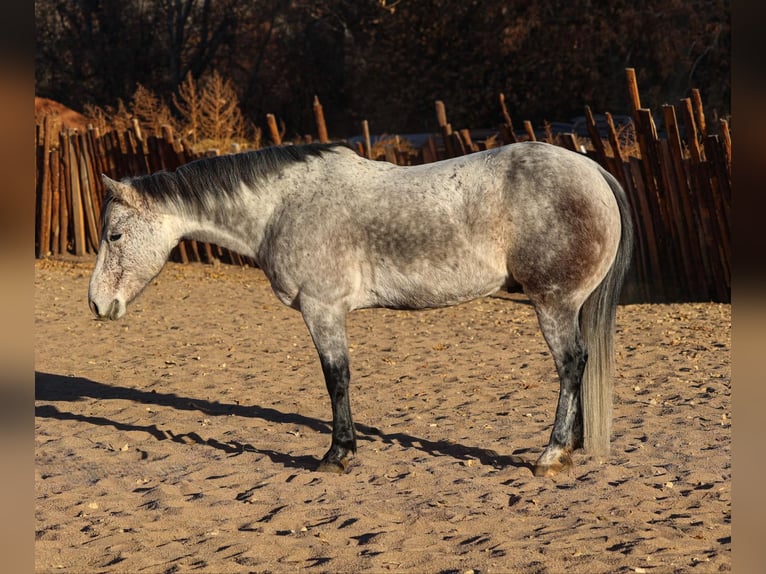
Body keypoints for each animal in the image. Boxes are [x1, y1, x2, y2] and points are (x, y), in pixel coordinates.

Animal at [87, 142, 632, 480]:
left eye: (115, 235)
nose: (97, 304)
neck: (282, 205)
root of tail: (593, 171)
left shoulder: (322, 309)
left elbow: (336, 379)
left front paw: (338, 454)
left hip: (553, 303)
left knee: (570, 364)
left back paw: (552, 453)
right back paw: (573, 447)